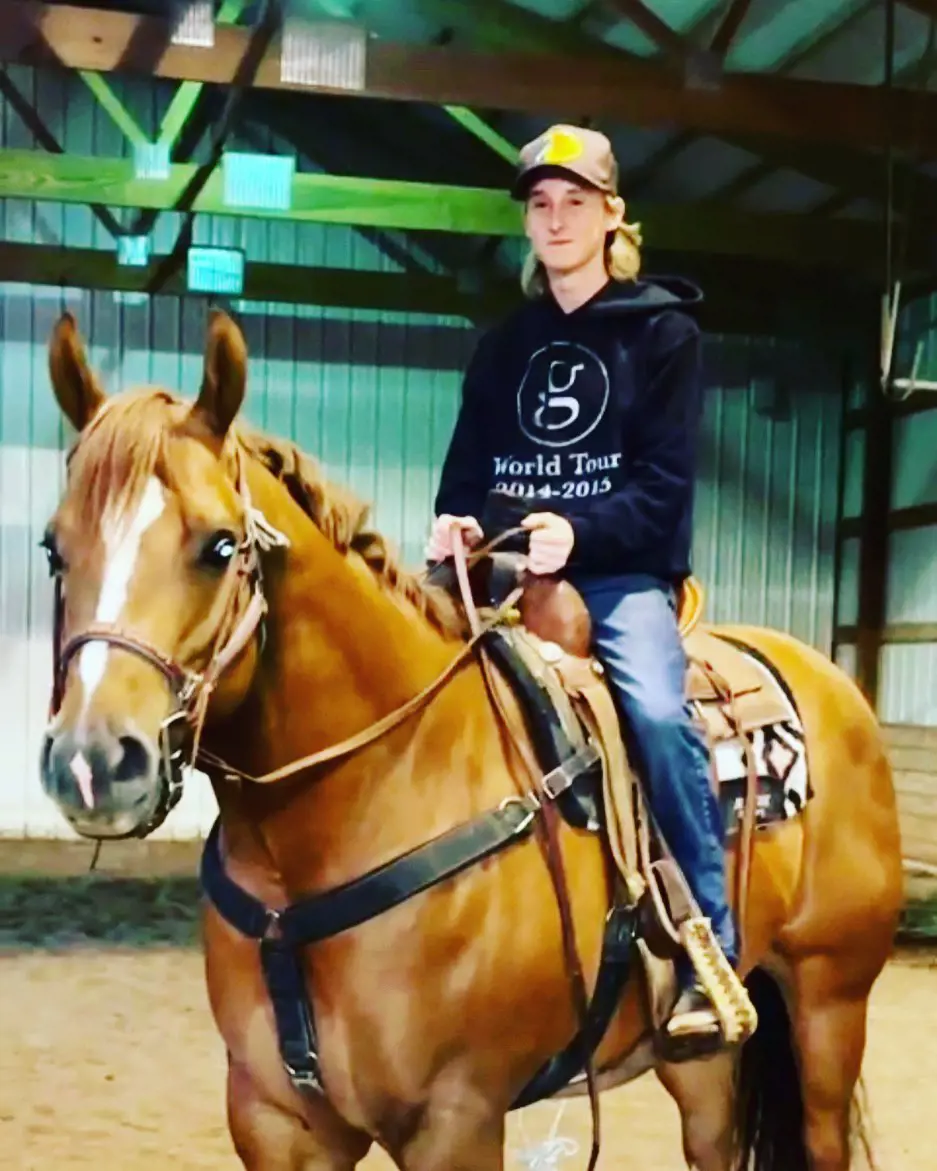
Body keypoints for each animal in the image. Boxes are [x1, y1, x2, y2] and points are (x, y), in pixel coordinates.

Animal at [40, 311, 904, 1171]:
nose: (93, 763)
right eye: (55, 547)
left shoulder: (453, 1120)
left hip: (829, 1004)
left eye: (219, 545)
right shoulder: (275, 1119)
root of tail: (829, 681)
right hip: (702, 1055)